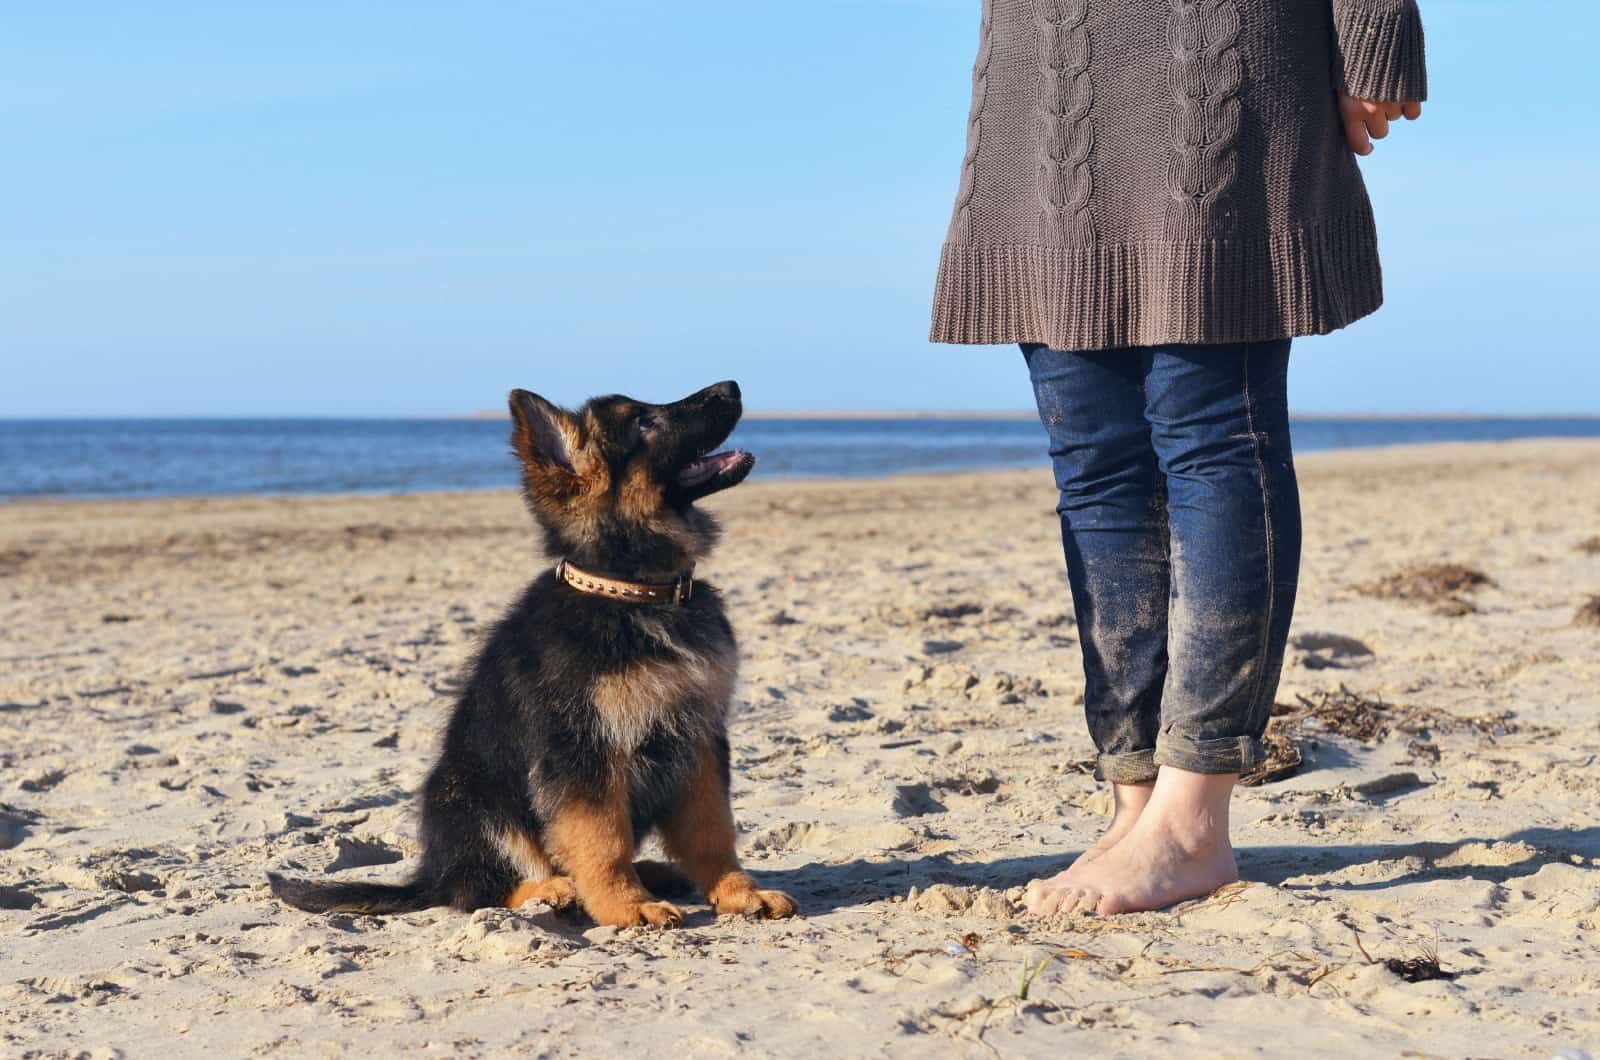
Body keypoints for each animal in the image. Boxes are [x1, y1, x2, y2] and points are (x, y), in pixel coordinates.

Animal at [275, 382, 806, 928]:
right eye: (643, 422)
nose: (732, 387)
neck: (634, 592)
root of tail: (431, 874)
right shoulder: (582, 749)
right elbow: (602, 839)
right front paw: (625, 905)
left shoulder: (699, 738)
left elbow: (712, 830)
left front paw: (739, 893)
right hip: (473, 798)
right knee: (476, 890)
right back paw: (554, 890)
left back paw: (649, 873)